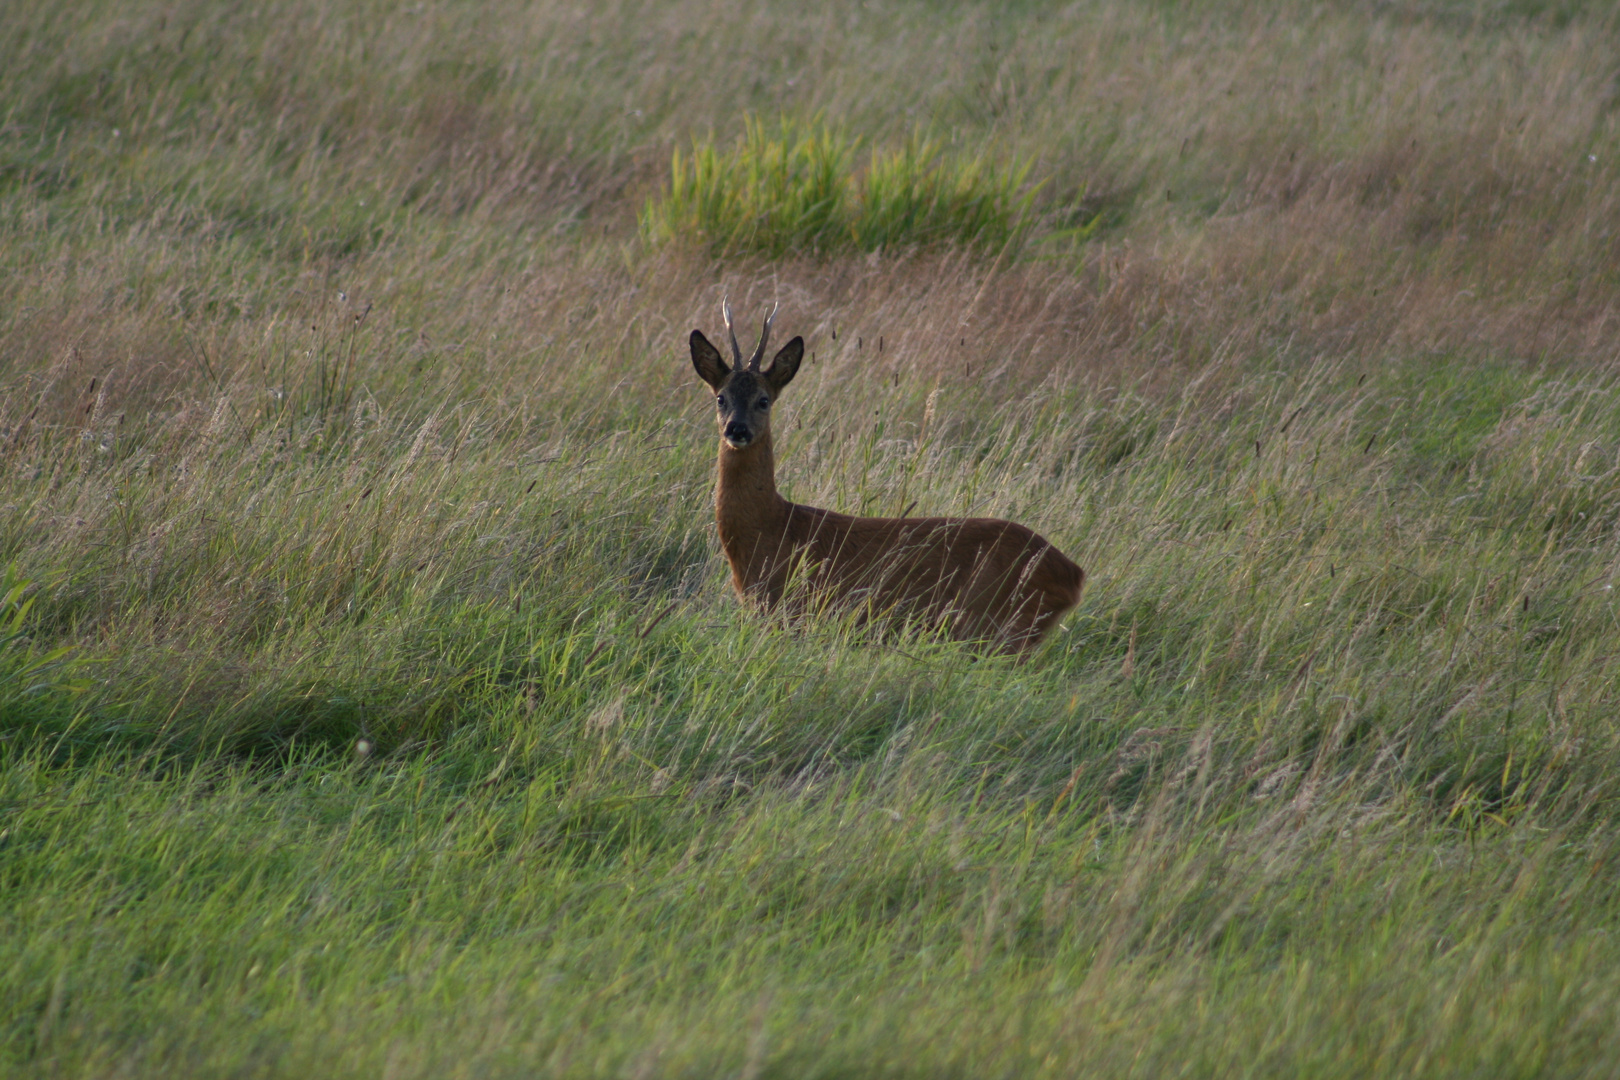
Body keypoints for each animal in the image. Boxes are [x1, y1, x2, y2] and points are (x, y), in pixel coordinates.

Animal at [690, 304, 1082, 660]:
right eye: (721, 398)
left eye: (764, 400)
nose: (737, 429)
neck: (772, 528)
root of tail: (1073, 574)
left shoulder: (793, 611)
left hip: (1000, 630)